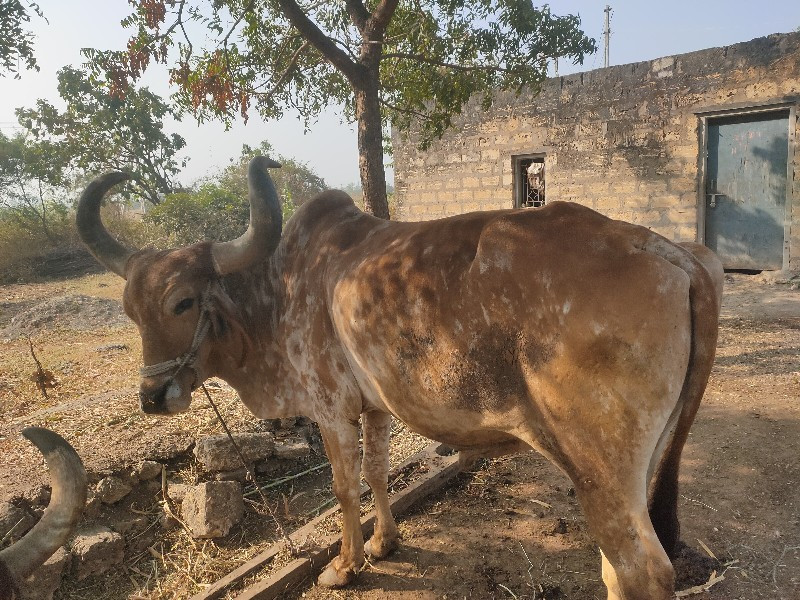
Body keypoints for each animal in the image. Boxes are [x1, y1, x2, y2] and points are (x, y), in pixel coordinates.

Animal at [78, 158, 720, 600]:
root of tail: (667, 250)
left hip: (598, 470)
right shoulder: (376, 406)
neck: (277, 289)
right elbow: (376, 474)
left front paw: (344, 566)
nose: (153, 396)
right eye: (131, 309)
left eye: (183, 302)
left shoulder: (332, 408)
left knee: (641, 572)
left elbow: (344, 488)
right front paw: (384, 542)